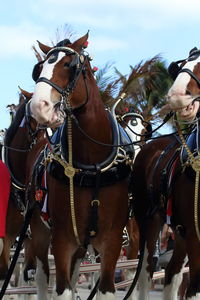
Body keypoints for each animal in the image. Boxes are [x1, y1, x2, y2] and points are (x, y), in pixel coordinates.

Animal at [29, 31, 134, 298]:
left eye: (70, 65)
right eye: (39, 69)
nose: (39, 107)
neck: (92, 165)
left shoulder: (111, 241)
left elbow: (105, 289)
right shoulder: (62, 237)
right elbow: (62, 289)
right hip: (39, 230)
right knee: (42, 276)